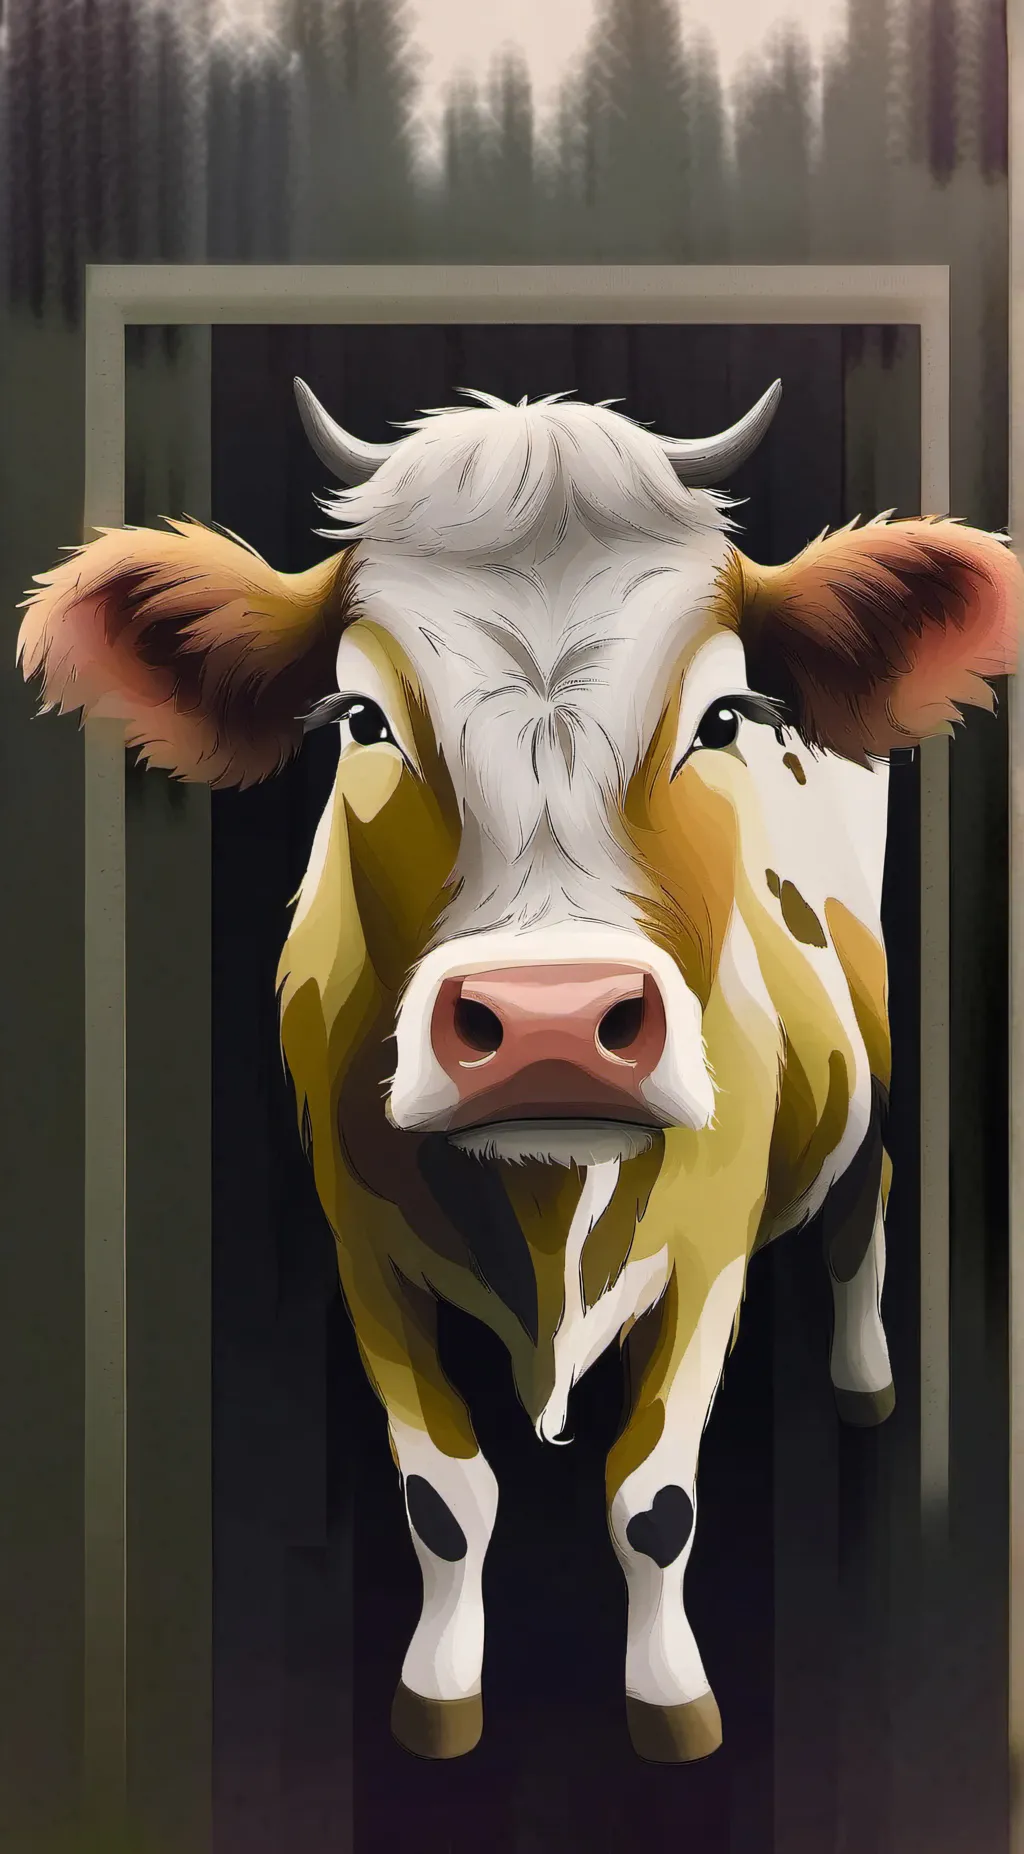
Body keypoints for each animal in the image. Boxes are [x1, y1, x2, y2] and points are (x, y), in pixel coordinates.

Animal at [17, 380, 1022, 1765]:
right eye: (360, 720)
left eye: (720, 718)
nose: (554, 1021)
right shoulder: (360, 1245)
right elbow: (444, 1499)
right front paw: (438, 1690)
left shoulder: (709, 1246)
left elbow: (654, 1501)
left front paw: (670, 1696)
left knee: (858, 1206)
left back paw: (867, 1383)